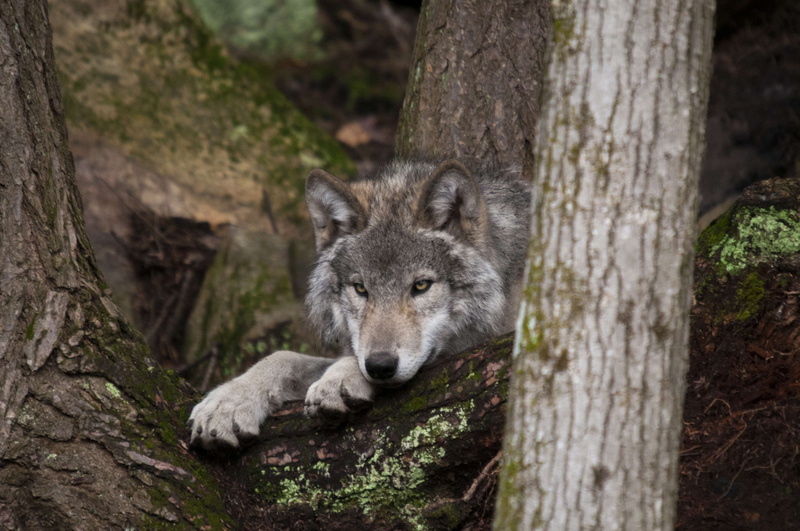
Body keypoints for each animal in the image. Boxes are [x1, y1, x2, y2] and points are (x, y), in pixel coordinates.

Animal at [188, 159, 531, 450]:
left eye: (421, 286)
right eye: (361, 288)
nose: (379, 366)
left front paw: (339, 380)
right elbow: (281, 356)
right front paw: (227, 402)